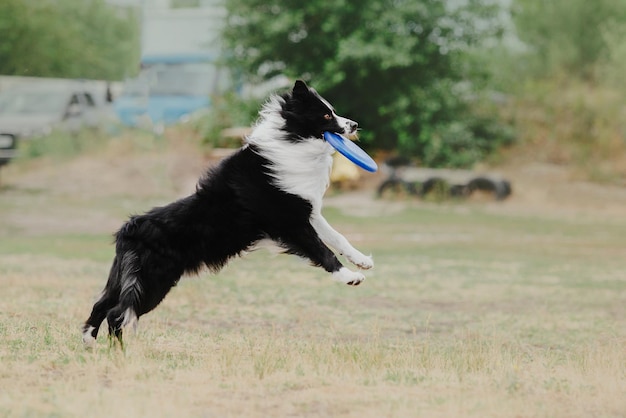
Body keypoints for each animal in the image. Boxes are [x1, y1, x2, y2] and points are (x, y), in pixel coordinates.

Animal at [83, 80, 376, 348]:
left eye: (333, 111)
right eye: (326, 115)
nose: (354, 125)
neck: (291, 140)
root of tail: (128, 230)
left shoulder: (307, 211)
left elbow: (337, 237)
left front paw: (362, 261)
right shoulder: (290, 223)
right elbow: (322, 250)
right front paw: (350, 276)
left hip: (126, 277)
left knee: (102, 304)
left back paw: (89, 345)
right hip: (152, 281)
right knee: (117, 312)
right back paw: (119, 352)